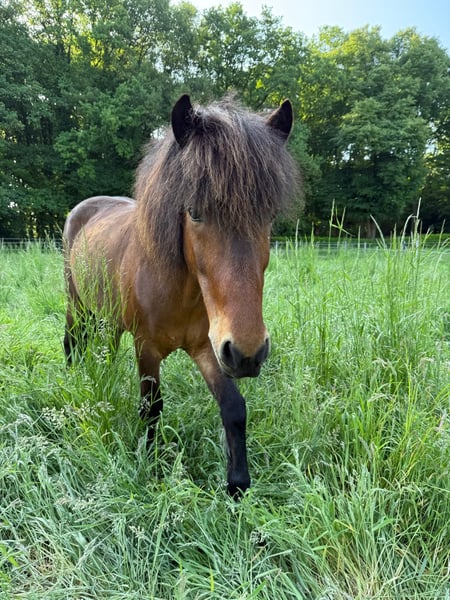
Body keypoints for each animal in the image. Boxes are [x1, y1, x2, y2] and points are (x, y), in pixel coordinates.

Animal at [63, 94, 298, 497]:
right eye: (195, 212)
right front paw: (151, 464)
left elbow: (234, 407)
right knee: (72, 341)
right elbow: (151, 406)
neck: (179, 291)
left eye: (268, 216)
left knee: (105, 350)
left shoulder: (210, 348)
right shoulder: (146, 347)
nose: (249, 354)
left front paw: (238, 484)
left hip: (110, 318)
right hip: (75, 304)